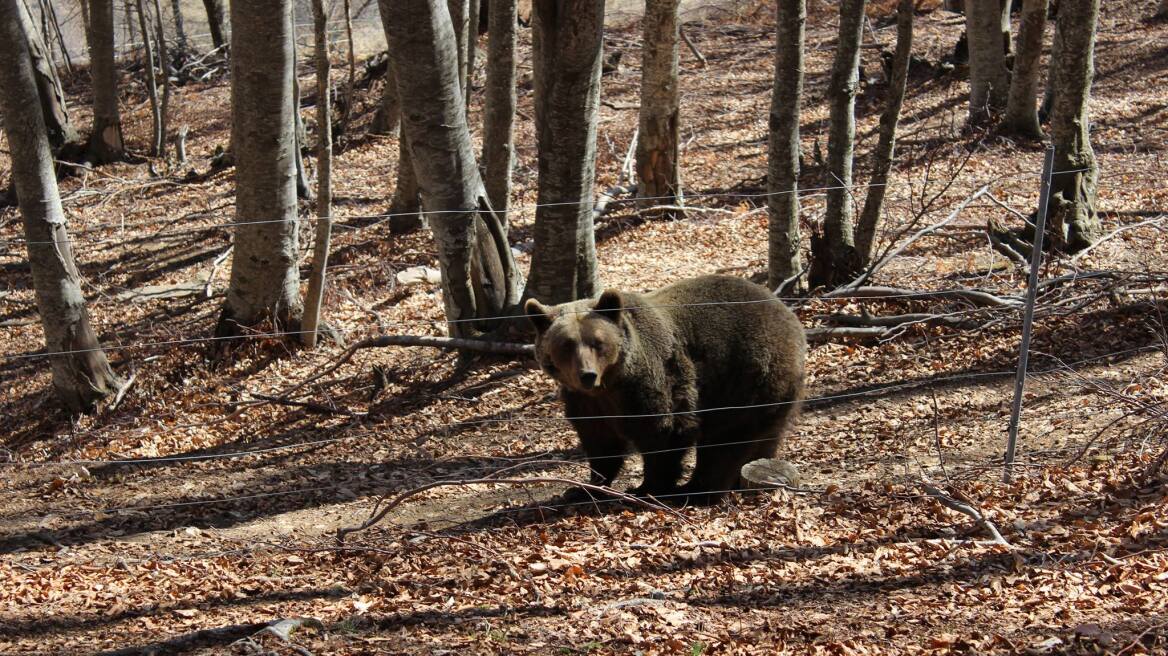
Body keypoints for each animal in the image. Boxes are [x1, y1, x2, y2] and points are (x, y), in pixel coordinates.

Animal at [527, 273, 808, 501]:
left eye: (597, 342)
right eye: (566, 344)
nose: (587, 374)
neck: (611, 385)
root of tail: (788, 314)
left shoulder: (652, 382)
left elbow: (664, 431)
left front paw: (646, 488)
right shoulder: (586, 401)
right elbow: (601, 442)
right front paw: (584, 488)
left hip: (746, 379)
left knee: (725, 441)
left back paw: (698, 490)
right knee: (766, 436)